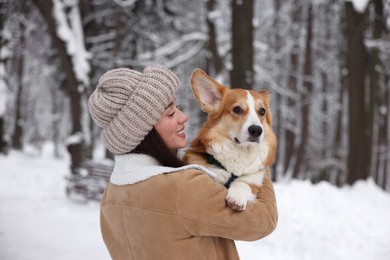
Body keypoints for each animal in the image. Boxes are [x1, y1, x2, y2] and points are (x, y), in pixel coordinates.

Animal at [184, 69, 278, 211]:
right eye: (237, 109)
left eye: (262, 111)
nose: (256, 130)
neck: (241, 151)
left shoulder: (253, 179)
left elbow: (243, 183)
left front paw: (236, 197)